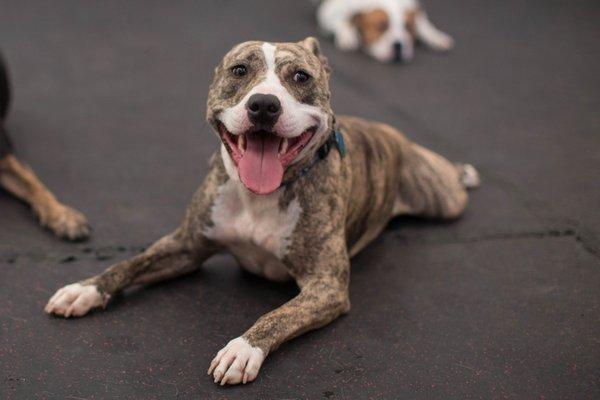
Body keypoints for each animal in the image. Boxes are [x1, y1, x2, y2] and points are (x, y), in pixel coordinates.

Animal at [44, 37, 480, 384]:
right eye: (240, 70)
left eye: (301, 77)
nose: (265, 105)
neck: (259, 196)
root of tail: (391, 132)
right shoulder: (187, 246)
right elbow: (129, 264)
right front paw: (85, 288)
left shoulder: (326, 287)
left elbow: (277, 315)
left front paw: (242, 349)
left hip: (444, 200)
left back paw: (465, 170)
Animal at [316, 0, 452, 62]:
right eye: (381, 27)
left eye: (408, 27)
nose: (398, 45)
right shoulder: (329, 11)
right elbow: (343, 21)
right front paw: (347, 37)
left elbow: (423, 24)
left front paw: (436, 37)